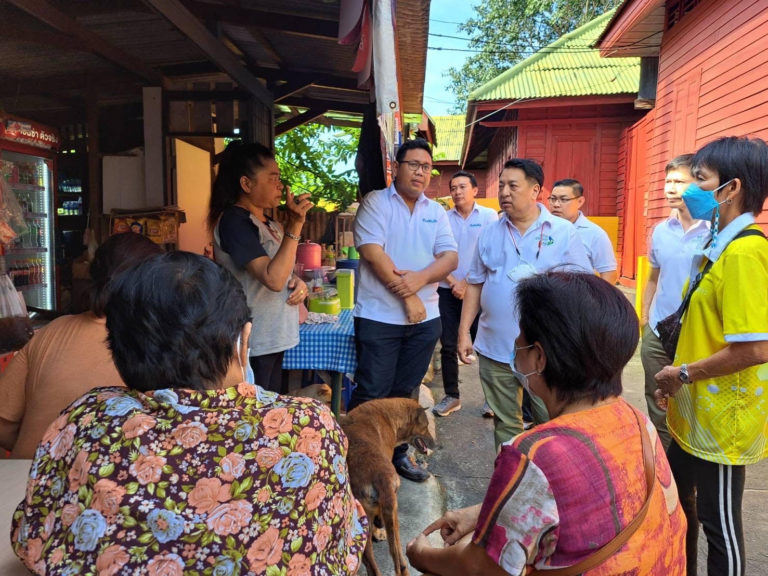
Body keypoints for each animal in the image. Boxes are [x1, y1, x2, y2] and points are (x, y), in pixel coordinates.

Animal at [340, 398, 436, 572]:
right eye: (425, 426)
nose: (436, 444)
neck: (387, 415)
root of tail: (381, 478)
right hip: (389, 516)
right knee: (395, 560)